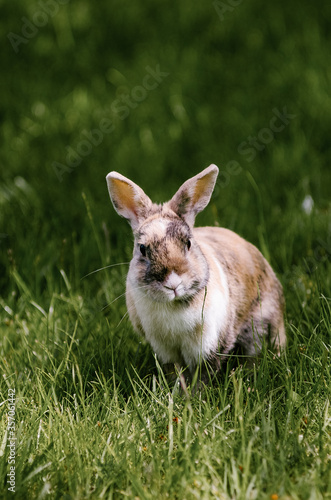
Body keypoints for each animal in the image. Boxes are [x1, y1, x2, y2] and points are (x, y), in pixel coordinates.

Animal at [105, 164, 286, 382]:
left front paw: (197, 392)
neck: (173, 305)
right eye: (142, 249)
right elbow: (175, 372)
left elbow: (204, 373)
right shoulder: (165, 350)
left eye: (189, 243)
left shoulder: (208, 344)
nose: (173, 283)